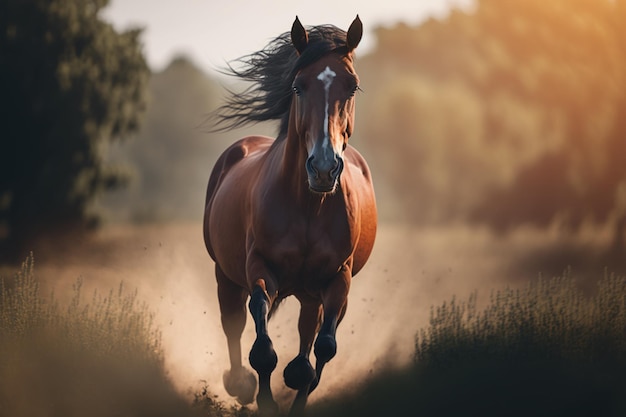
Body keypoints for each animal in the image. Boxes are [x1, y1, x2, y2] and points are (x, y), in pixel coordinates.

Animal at [204, 14, 376, 414]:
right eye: (298, 86)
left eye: (353, 87)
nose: (324, 169)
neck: (309, 207)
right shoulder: (260, 267)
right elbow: (262, 350)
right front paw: (260, 396)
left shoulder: (338, 279)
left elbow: (321, 350)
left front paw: (298, 383)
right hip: (225, 272)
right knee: (233, 322)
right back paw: (238, 383)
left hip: (312, 293)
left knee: (309, 329)